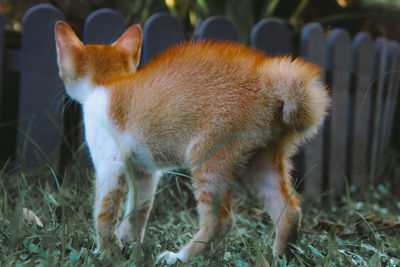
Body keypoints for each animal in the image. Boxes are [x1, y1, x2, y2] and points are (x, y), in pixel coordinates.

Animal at [54, 21, 330, 266]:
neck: (109, 83)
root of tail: (267, 80)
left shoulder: (110, 166)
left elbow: (104, 213)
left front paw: (104, 253)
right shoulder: (145, 173)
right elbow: (138, 210)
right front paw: (128, 243)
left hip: (207, 160)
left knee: (220, 222)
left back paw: (179, 257)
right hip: (261, 162)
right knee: (290, 212)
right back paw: (279, 258)